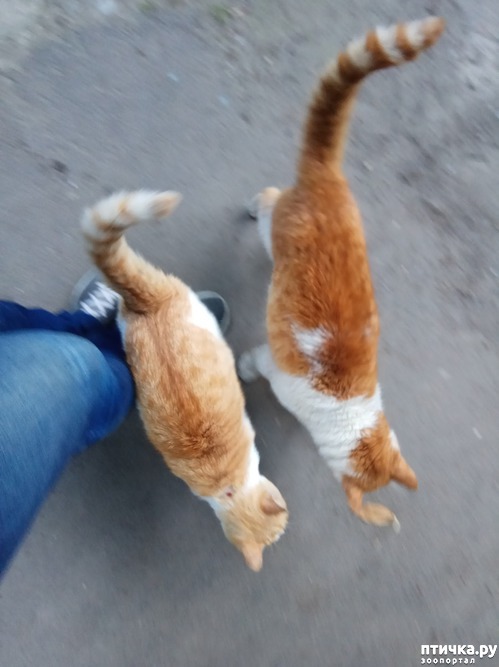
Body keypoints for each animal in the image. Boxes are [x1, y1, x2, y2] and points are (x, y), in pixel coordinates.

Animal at [238, 17, 445, 528]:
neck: (351, 411)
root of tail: (327, 176)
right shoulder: (274, 365)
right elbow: (254, 361)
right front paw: (244, 371)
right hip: (276, 227)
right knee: (269, 198)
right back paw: (254, 206)